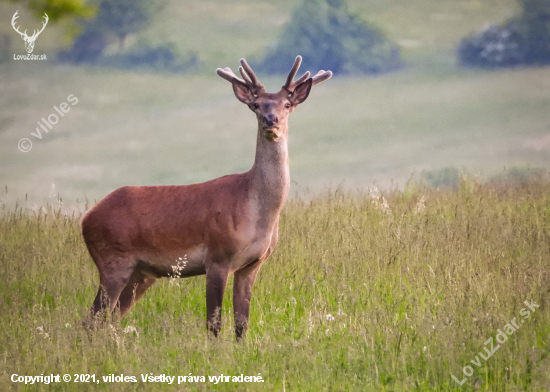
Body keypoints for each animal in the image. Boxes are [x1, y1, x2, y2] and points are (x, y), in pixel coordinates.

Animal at [81, 56, 332, 340]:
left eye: (287, 104)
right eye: (256, 105)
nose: (271, 119)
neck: (256, 211)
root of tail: (86, 218)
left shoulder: (252, 264)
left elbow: (242, 323)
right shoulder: (217, 256)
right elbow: (214, 323)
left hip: (141, 273)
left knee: (108, 320)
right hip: (113, 259)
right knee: (91, 320)